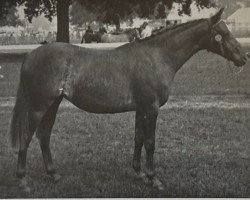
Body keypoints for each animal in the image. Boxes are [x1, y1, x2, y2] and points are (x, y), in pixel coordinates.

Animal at [9, 8, 246, 194]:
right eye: (222, 33)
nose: (243, 57)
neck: (156, 57)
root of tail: (30, 56)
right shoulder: (151, 109)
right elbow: (150, 143)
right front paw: (153, 179)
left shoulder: (141, 109)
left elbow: (138, 139)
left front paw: (138, 173)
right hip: (39, 106)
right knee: (26, 137)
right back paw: (22, 181)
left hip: (53, 104)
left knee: (43, 136)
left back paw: (54, 174)